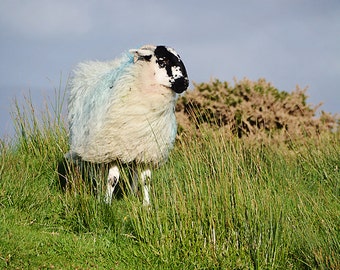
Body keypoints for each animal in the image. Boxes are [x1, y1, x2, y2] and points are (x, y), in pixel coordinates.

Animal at [61, 44, 189, 205]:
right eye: (163, 60)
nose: (185, 83)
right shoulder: (114, 149)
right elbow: (112, 179)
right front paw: (106, 203)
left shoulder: (147, 149)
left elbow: (146, 180)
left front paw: (147, 205)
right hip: (96, 148)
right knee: (98, 174)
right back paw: (99, 194)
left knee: (134, 173)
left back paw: (133, 194)